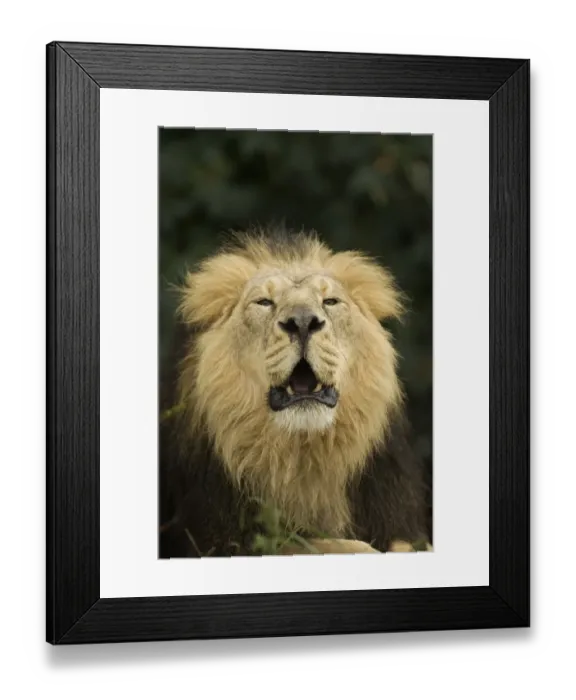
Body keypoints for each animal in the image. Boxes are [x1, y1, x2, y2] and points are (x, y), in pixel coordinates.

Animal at [159, 227, 430, 557]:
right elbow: (318, 544)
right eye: (264, 302)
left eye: (330, 301)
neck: (302, 454)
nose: (302, 322)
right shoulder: (218, 539)